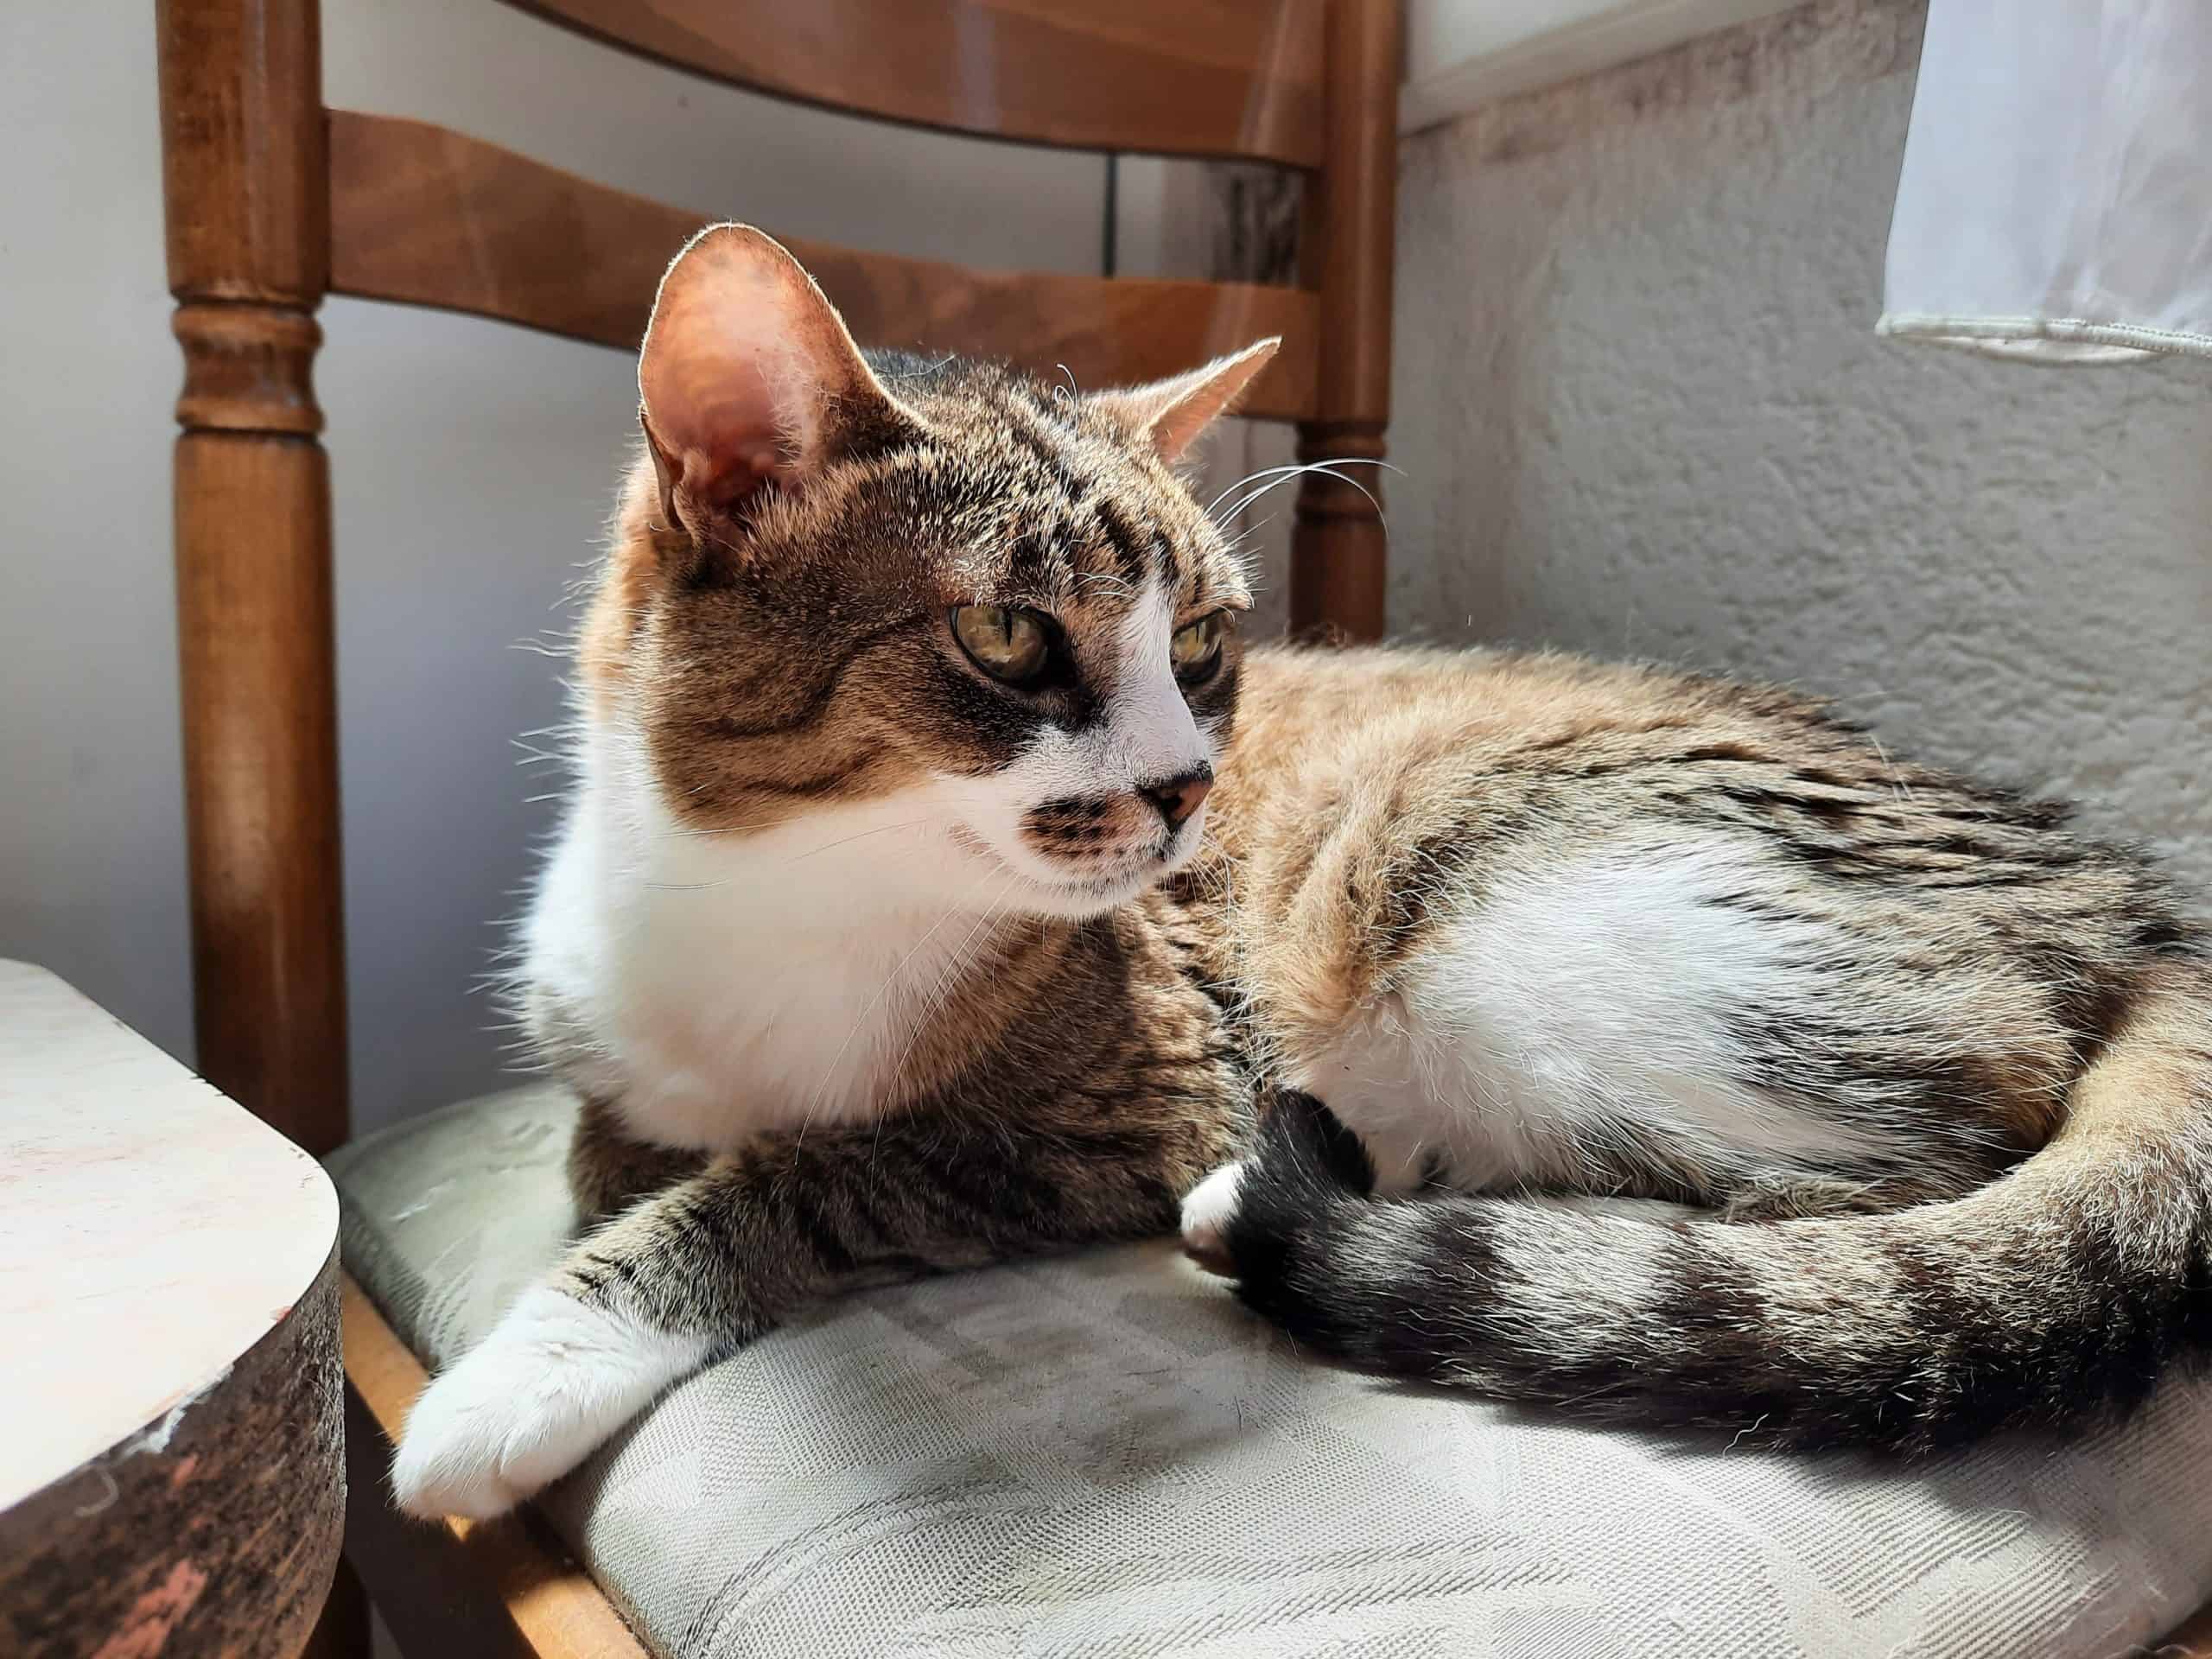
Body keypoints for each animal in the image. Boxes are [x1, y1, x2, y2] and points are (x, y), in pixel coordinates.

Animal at [389, 227, 2212, 1530]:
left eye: (1200, 644)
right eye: (1009, 636)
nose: (1189, 786)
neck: (776, 902)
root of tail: (2132, 899)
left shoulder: (1133, 1085)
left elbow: (811, 1177)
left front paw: (529, 1367)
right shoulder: (607, 1052)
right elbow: (604, 1147)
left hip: (1511, 914)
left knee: (1887, 1183)